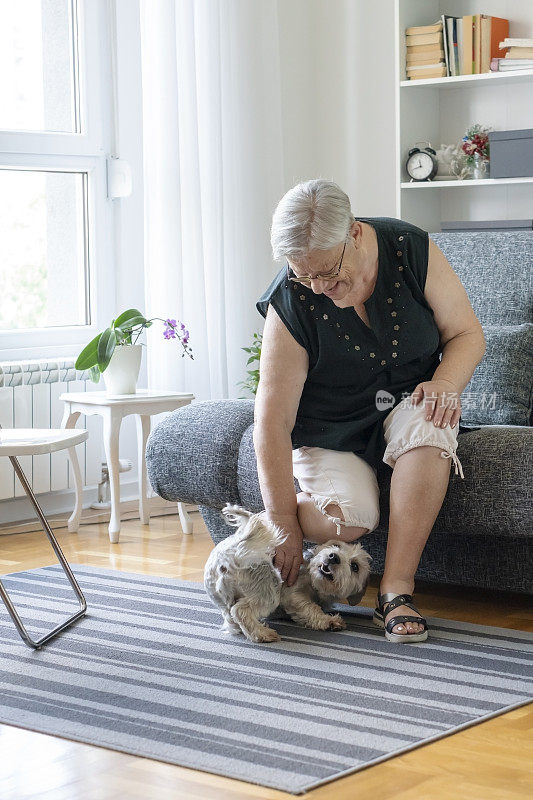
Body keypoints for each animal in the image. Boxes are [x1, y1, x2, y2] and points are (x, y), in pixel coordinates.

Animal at [202, 506, 372, 644]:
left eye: (355, 566)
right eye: (336, 545)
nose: (333, 557)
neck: (316, 585)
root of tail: (230, 553)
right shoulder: (292, 594)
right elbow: (311, 607)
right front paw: (328, 621)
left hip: (224, 600)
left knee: (231, 618)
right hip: (270, 588)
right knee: (240, 610)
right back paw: (262, 633)